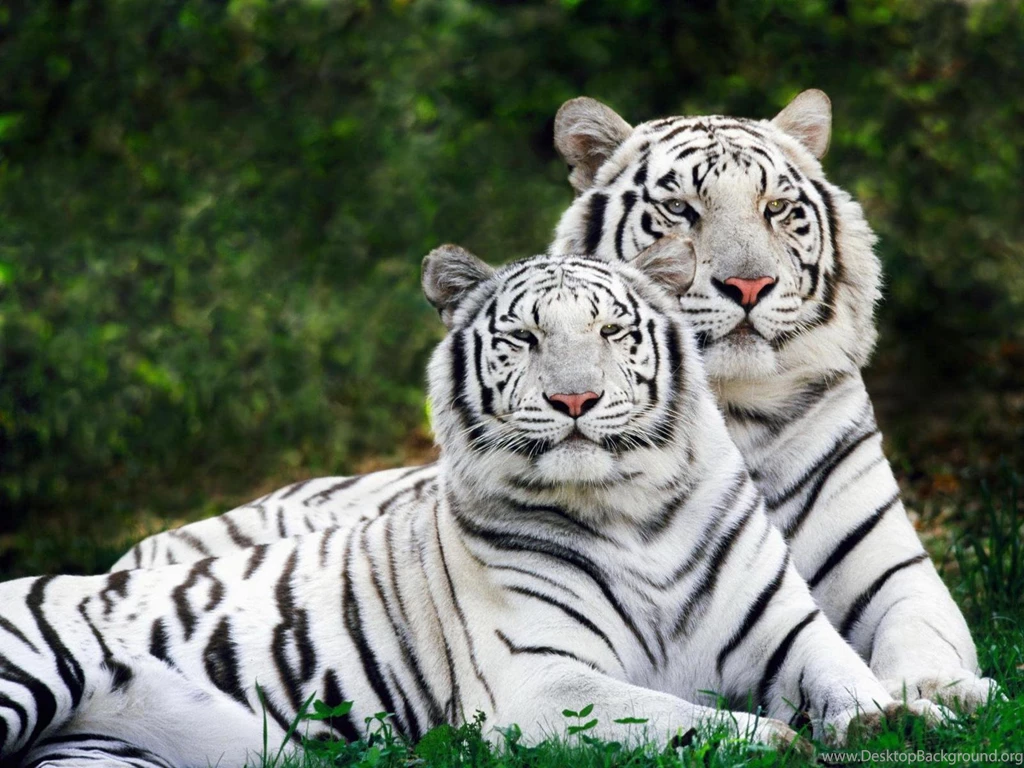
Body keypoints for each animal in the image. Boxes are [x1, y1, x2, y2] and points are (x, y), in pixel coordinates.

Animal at [0, 245, 949, 767]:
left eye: (612, 332)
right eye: (523, 338)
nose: (574, 401)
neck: (634, 511)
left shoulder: (788, 633)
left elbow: (849, 678)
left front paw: (909, 717)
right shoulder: (539, 680)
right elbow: (685, 718)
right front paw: (779, 742)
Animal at [111, 90, 997, 709]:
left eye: (778, 209)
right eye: (680, 210)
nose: (748, 285)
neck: (734, 411)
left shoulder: (894, 571)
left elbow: (924, 634)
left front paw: (944, 694)